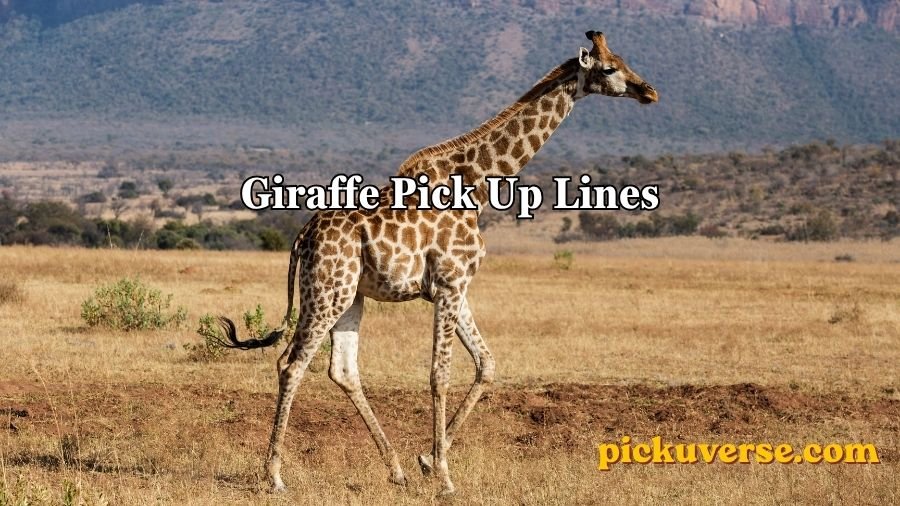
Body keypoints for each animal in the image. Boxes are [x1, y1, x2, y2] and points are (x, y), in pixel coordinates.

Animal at [218, 31, 658, 496]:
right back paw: (275, 475)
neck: (476, 186)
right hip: (327, 291)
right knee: (292, 364)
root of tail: (303, 237)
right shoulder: (449, 283)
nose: (649, 91)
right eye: (609, 68)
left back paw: (395, 469)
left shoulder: (456, 287)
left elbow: (486, 364)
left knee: (343, 369)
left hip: (351, 296)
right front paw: (445, 477)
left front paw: (429, 459)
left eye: (624, 60)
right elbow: (439, 374)